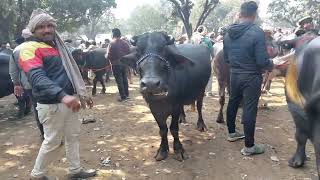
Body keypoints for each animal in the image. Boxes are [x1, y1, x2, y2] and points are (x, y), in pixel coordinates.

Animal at [121, 31, 211, 161]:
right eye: (138, 50)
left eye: (163, 50)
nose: (150, 84)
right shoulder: (153, 108)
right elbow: (163, 130)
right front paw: (162, 150)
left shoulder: (175, 106)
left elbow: (174, 129)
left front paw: (178, 149)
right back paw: (182, 118)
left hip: (201, 91)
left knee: (199, 107)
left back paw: (201, 125)